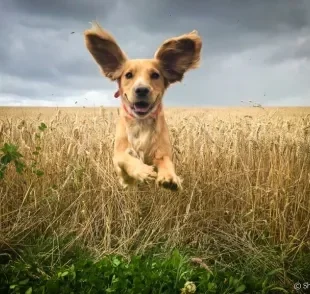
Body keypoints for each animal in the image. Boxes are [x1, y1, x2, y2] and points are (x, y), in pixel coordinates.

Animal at [83, 21, 202, 191]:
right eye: (128, 75)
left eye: (155, 75)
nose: (141, 90)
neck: (141, 123)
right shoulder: (118, 157)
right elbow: (125, 159)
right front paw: (142, 171)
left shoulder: (163, 152)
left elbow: (167, 163)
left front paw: (170, 178)